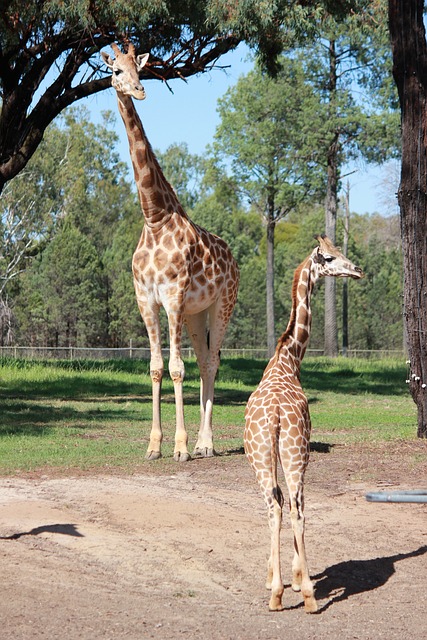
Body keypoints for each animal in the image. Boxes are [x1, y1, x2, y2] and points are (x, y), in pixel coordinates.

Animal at [101, 43, 239, 460]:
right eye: (116, 71)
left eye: (139, 68)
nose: (139, 90)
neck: (154, 218)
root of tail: (234, 258)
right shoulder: (146, 298)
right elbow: (156, 367)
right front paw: (154, 445)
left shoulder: (174, 296)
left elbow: (178, 367)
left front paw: (179, 447)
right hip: (196, 314)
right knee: (206, 359)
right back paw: (203, 441)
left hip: (221, 304)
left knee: (211, 362)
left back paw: (205, 444)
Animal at [246, 235, 362, 608]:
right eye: (330, 257)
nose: (357, 269)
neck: (287, 358)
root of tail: (277, 415)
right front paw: (291, 579)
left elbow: (283, 504)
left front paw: (285, 579)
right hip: (289, 453)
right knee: (291, 507)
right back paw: (301, 593)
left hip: (278, 454)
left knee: (280, 506)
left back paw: (286, 593)